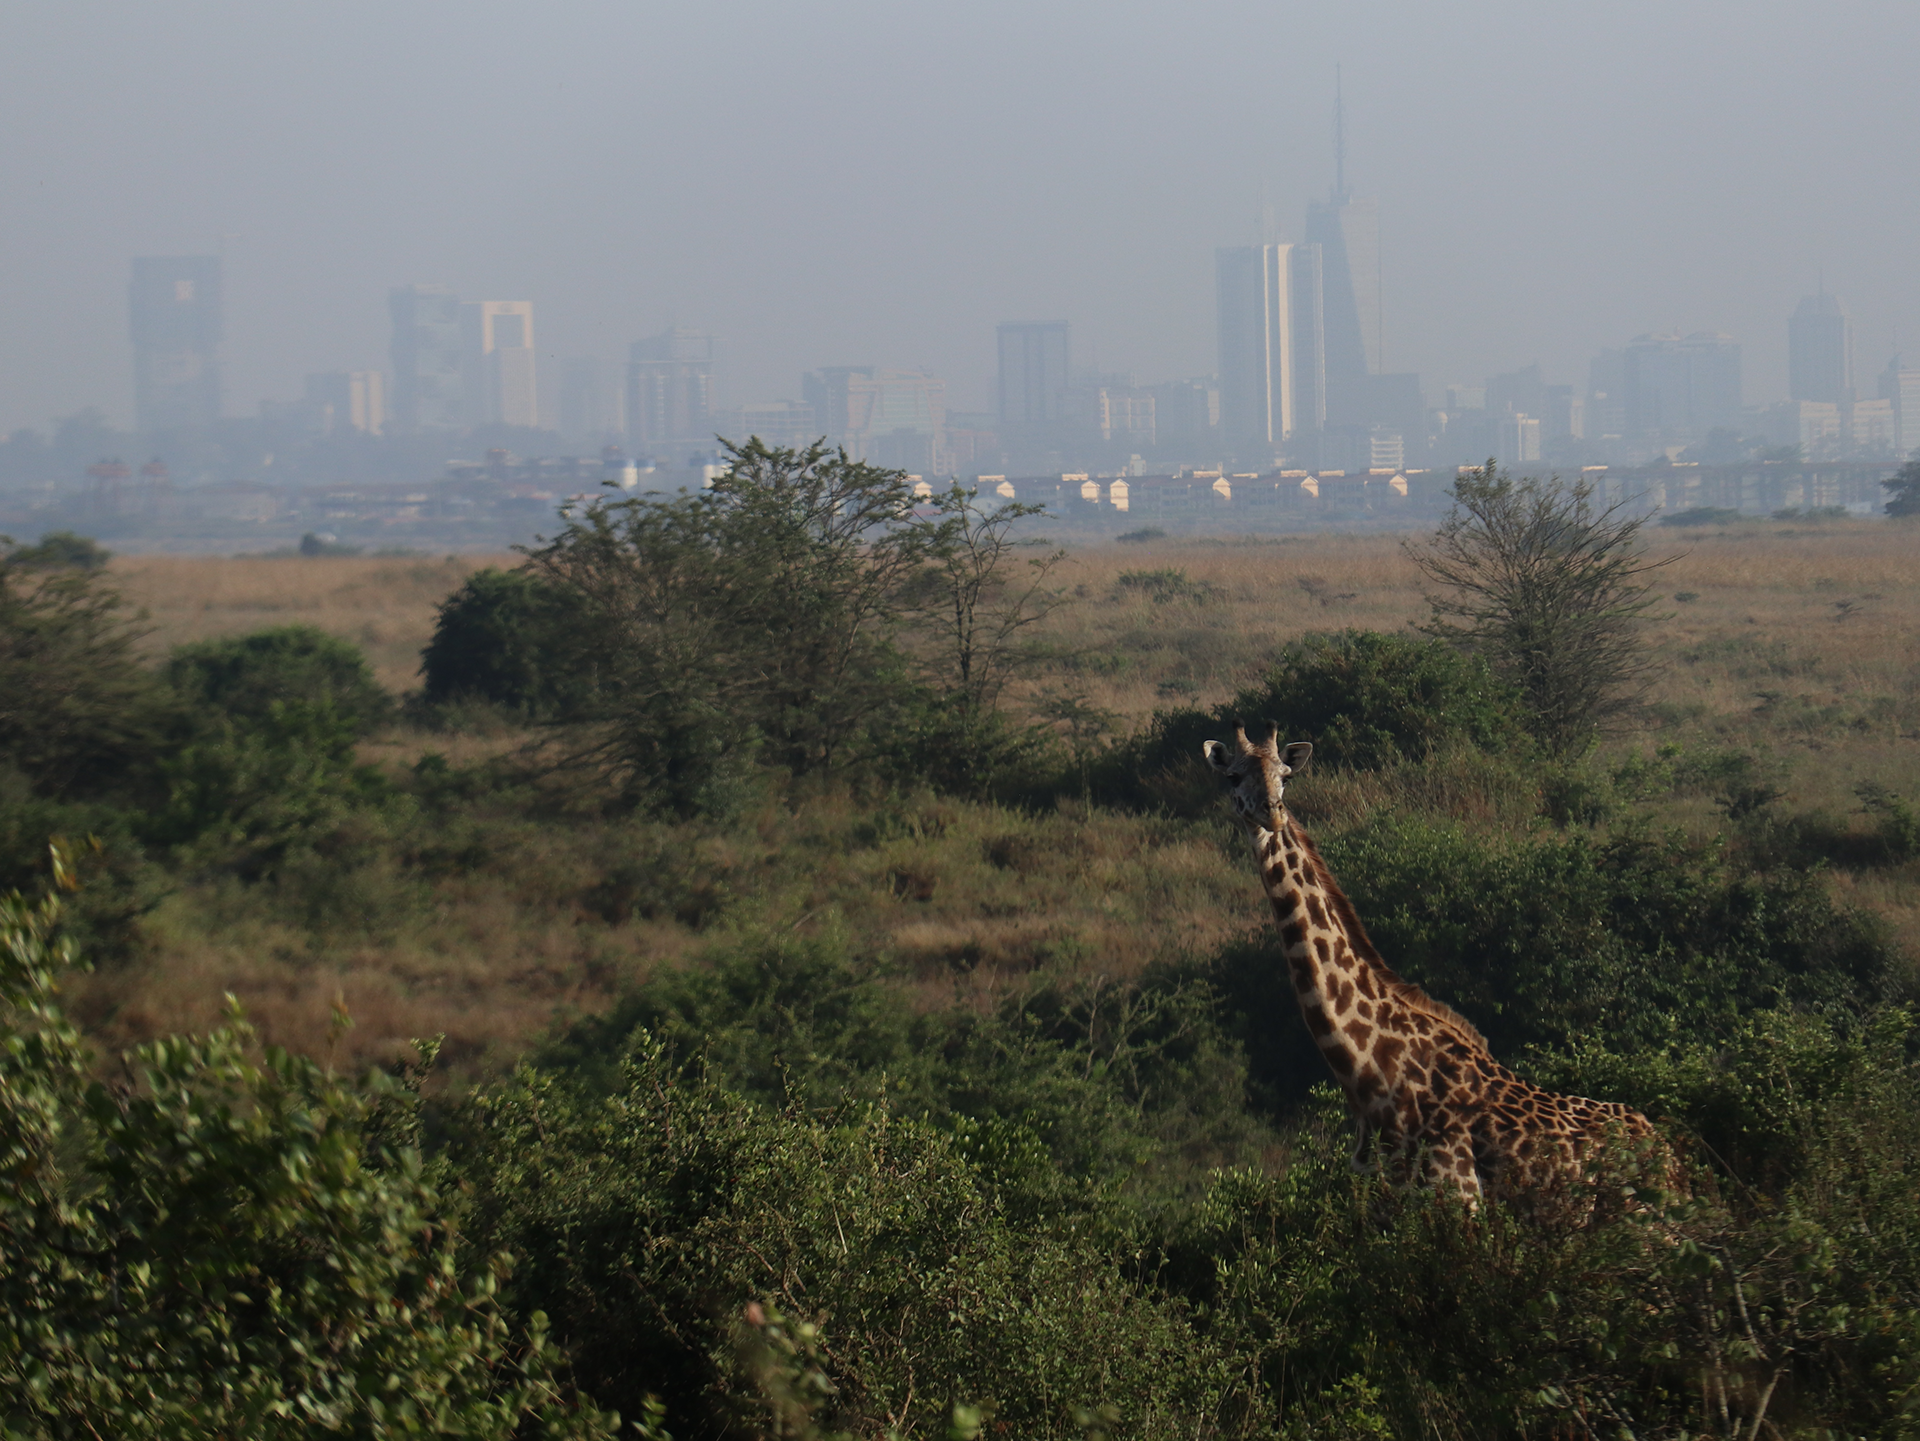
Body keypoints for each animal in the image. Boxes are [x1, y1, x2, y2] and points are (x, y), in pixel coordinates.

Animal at [1203, 721, 1670, 1207]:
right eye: (1233, 777)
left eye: (1286, 777)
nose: (1271, 813)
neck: (1370, 1077)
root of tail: (1668, 1151)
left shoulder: (1457, 1195)